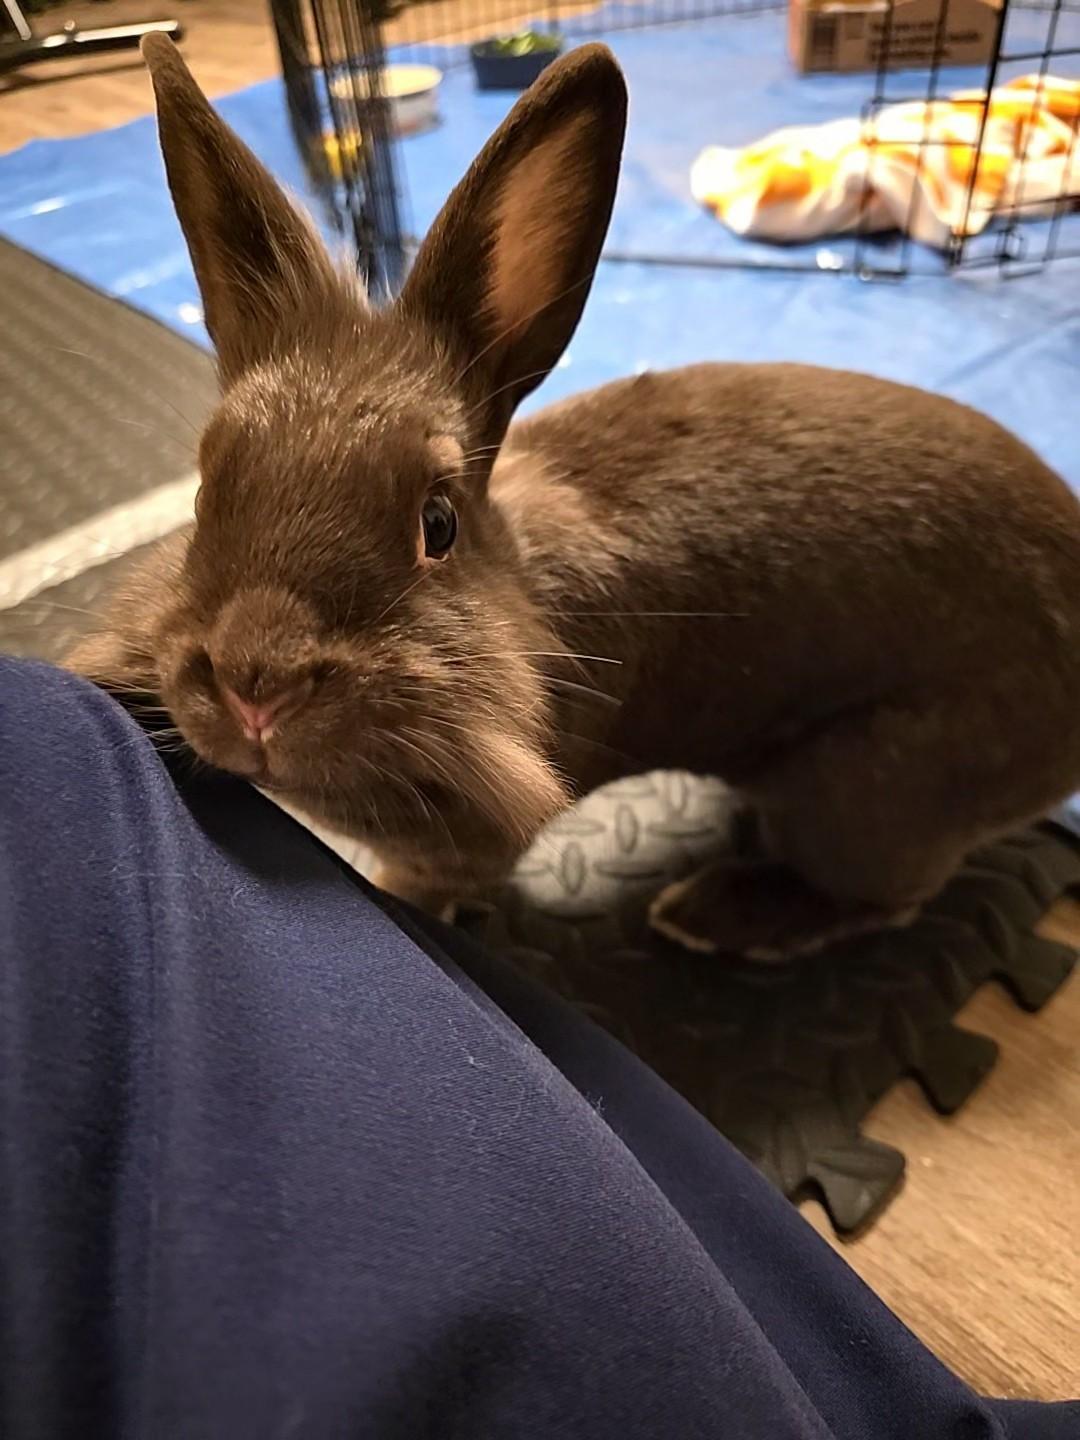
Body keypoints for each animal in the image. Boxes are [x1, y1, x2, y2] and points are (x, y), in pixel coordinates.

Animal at [67, 34, 1080, 962]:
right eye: (208, 485)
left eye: (438, 523)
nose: (256, 686)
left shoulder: (463, 840)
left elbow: (428, 879)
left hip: (866, 794)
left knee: (882, 896)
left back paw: (715, 914)